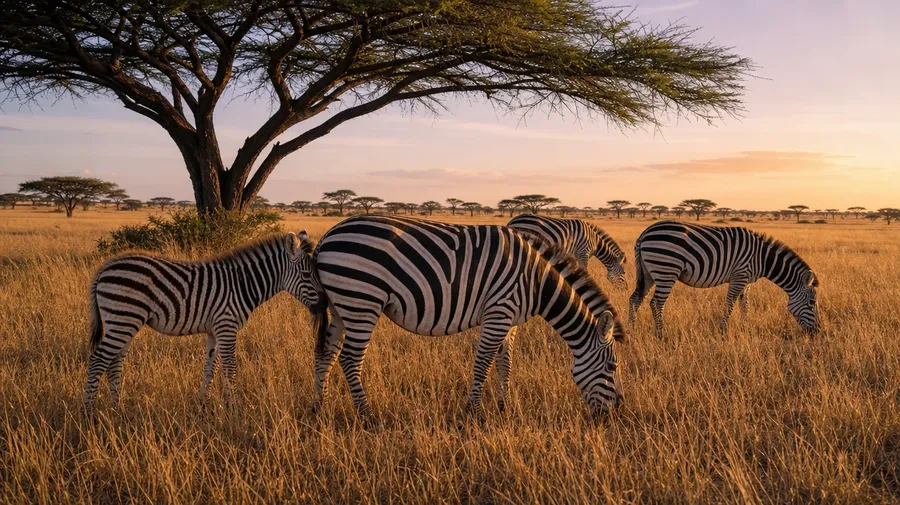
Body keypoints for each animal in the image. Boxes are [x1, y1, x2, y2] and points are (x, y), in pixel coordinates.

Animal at [84, 231, 327, 415]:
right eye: (307, 274)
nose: (324, 305)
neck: (242, 284)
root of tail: (105, 269)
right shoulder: (227, 326)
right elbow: (231, 368)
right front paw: (235, 409)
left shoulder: (214, 330)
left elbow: (211, 368)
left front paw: (206, 405)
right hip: (123, 319)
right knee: (97, 361)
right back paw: (89, 413)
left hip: (123, 323)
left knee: (114, 363)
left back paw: (117, 409)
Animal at [312, 215, 626, 418]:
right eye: (612, 367)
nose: (615, 413)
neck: (536, 281)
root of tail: (327, 236)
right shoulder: (499, 311)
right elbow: (483, 361)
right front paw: (474, 411)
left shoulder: (509, 318)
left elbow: (505, 361)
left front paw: (503, 406)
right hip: (361, 300)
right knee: (350, 359)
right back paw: (367, 415)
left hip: (342, 306)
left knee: (326, 354)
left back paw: (319, 408)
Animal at [628, 221, 820, 338]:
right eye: (812, 302)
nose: (817, 332)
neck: (762, 258)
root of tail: (645, 233)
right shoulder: (739, 276)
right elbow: (730, 304)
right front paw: (722, 331)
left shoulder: (746, 281)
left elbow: (745, 305)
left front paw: (745, 328)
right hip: (666, 270)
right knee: (656, 303)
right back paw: (662, 334)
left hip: (649, 273)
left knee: (635, 299)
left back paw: (632, 330)